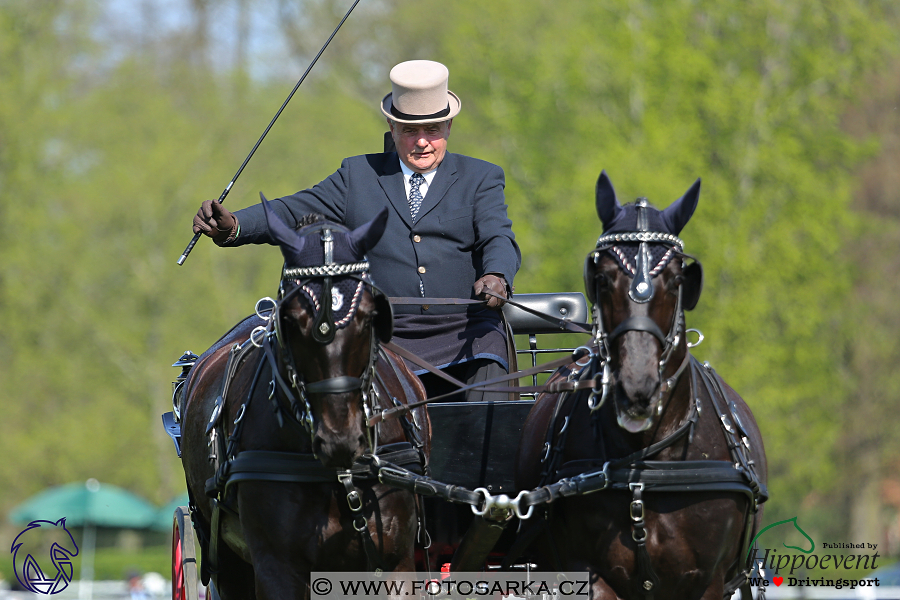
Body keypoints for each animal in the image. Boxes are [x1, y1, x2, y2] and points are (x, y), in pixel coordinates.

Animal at [178, 200, 428, 600]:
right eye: (291, 320)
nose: (340, 439)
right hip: (227, 558)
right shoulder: (277, 567)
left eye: (369, 316)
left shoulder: (397, 564)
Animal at [512, 172, 768, 600]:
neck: (645, 461)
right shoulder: (589, 574)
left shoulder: (708, 581)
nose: (637, 389)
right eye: (601, 278)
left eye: (679, 279)